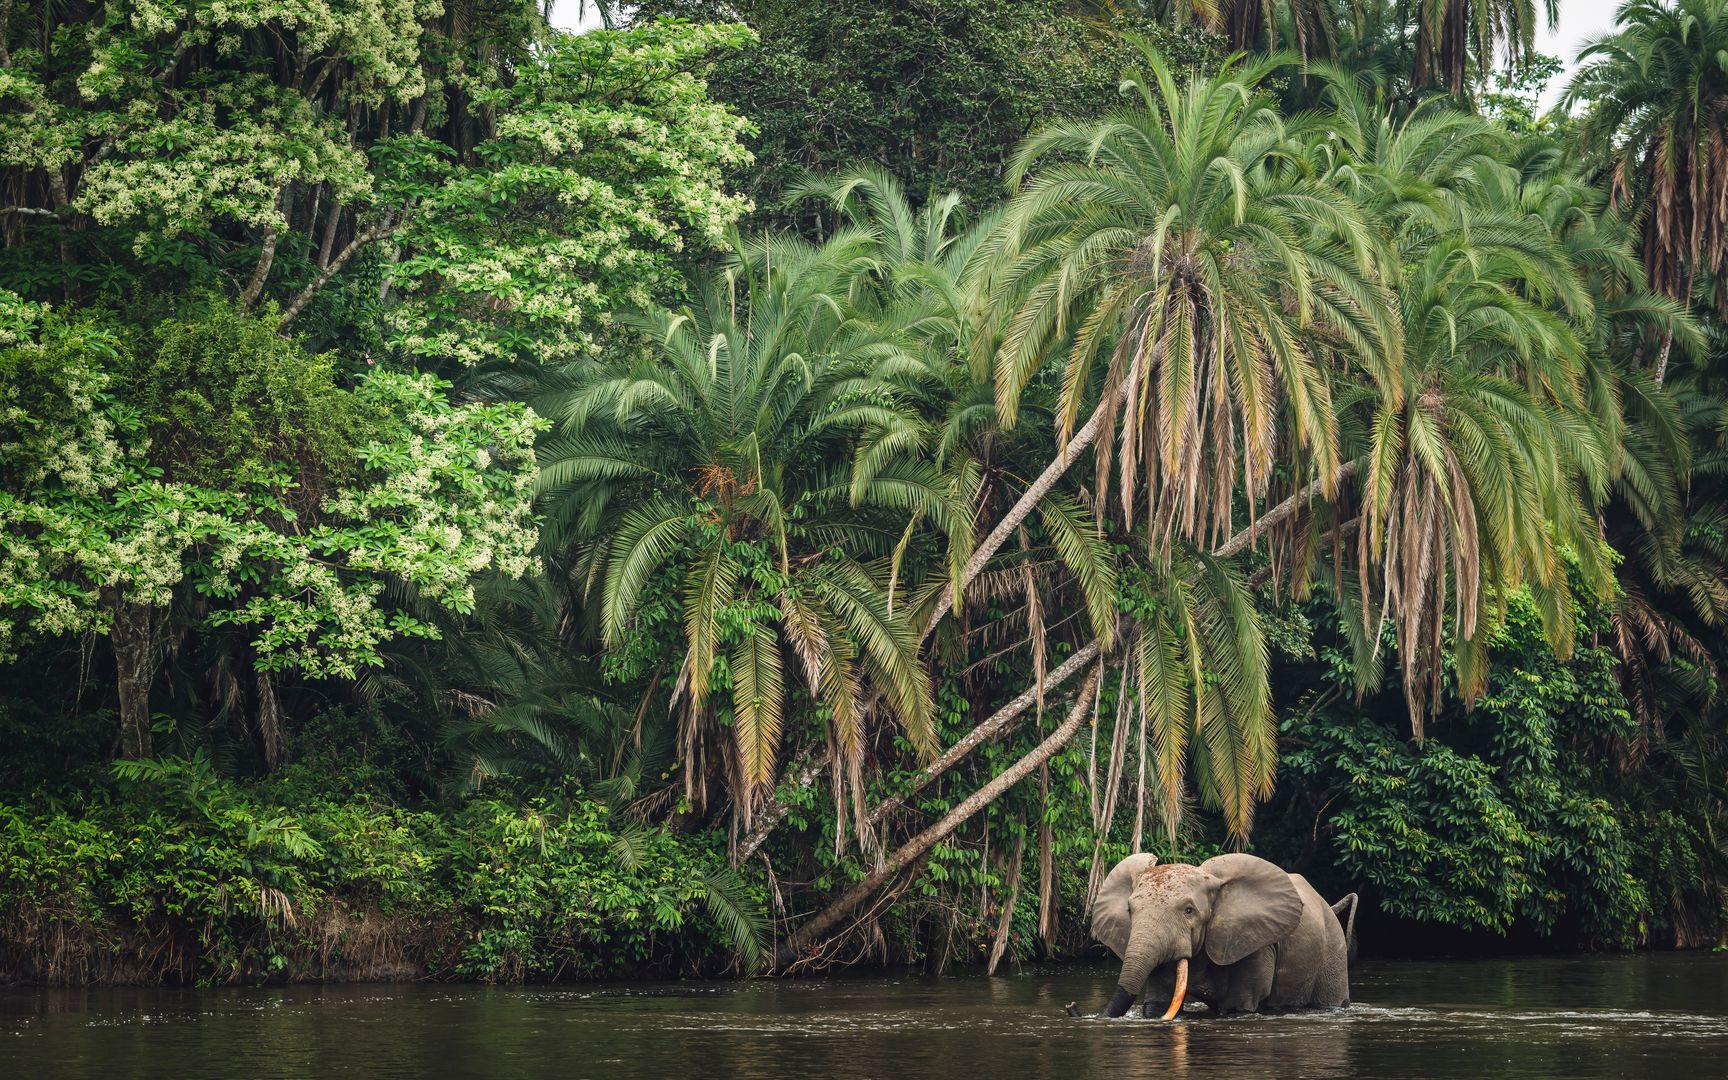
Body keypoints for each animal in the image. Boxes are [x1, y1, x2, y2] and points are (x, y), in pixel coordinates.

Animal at [1085, 850, 1354, 1016]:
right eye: (1130, 910)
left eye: (1189, 910)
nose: (1075, 1007)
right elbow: (1157, 1004)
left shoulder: (1255, 943)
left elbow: (1239, 1006)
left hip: (1333, 949)